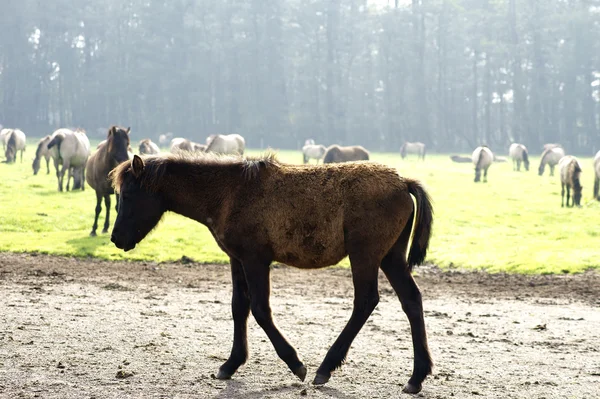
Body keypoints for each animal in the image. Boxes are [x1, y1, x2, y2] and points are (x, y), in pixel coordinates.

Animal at [110, 153, 434, 394]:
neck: (230, 192)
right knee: (411, 301)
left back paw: (325, 368)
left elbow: (260, 310)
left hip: (365, 256)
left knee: (365, 302)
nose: (116, 239)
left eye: (128, 195)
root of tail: (403, 182)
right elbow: (239, 307)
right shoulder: (237, 260)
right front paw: (230, 364)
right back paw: (416, 377)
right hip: (391, 258)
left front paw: (295, 364)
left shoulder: (256, 260)